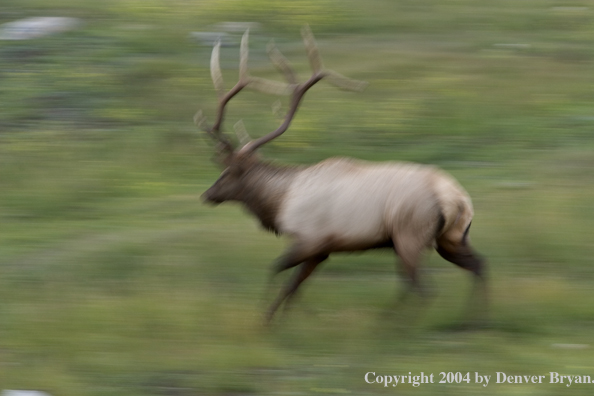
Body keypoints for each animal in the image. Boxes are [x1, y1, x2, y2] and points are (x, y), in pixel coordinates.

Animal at [197, 26, 484, 324]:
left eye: (227, 172)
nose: (207, 195)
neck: (279, 201)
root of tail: (456, 200)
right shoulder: (321, 250)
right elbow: (293, 285)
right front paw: (282, 319)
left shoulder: (310, 239)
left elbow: (277, 271)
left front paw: (265, 319)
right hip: (451, 237)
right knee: (478, 265)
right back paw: (471, 319)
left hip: (410, 235)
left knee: (423, 287)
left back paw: (398, 324)